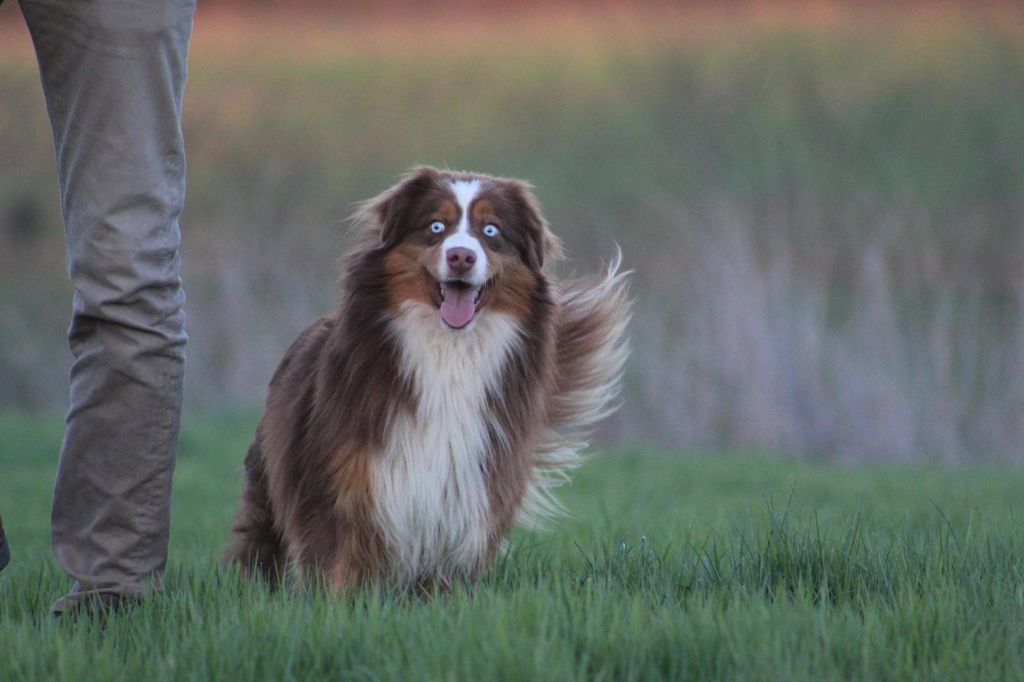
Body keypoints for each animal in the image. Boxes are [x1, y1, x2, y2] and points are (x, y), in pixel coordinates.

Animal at [224, 165, 626, 589]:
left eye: (491, 230)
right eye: (436, 226)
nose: (461, 256)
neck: (448, 352)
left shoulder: (467, 494)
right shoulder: (341, 486)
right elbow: (338, 569)